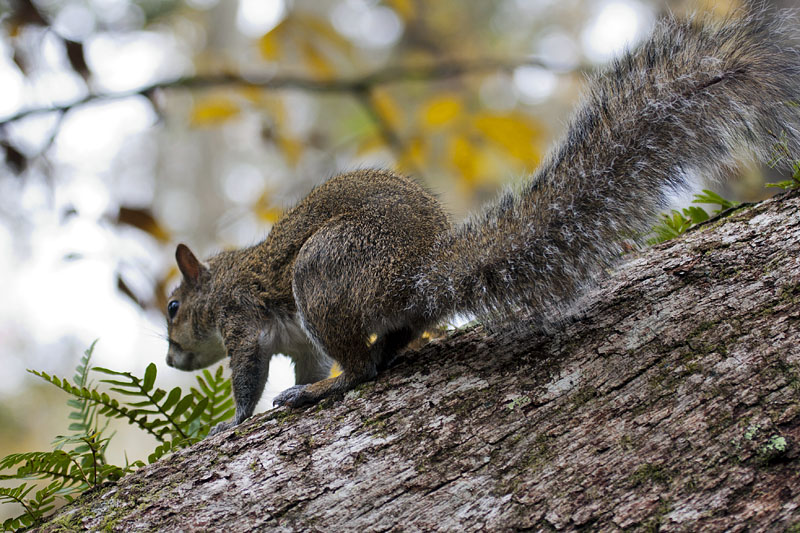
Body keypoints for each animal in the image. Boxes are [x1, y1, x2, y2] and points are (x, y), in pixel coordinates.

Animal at [164, 8, 800, 434]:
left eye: (172, 308)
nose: (170, 360)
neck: (219, 282)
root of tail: (414, 272)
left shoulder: (243, 318)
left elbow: (249, 373)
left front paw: (235, 421)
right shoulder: (295, 338)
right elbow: (306, 357)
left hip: (324, 274)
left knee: (361, 367)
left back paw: (323, 390)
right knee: (394, 339)